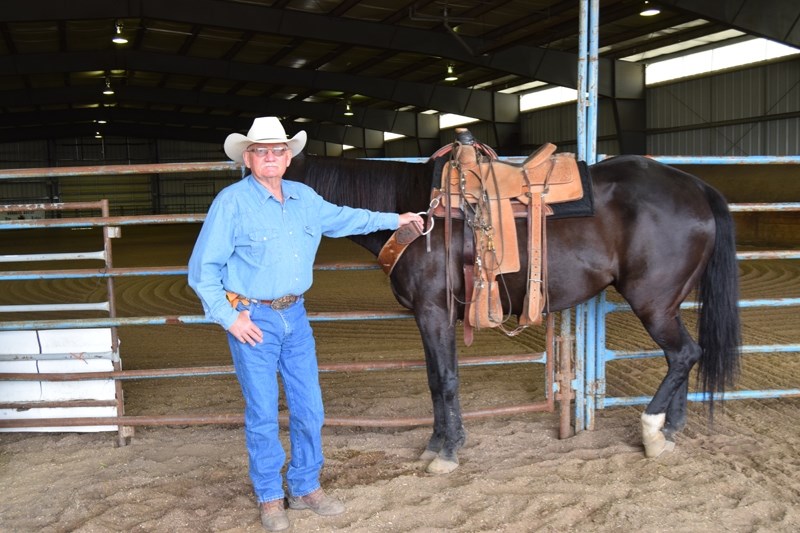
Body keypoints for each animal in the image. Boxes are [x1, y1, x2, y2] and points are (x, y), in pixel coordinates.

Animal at [284, 139, 740, 472]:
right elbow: (434, 379)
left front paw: (447, 453)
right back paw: (669, 430)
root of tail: (696, 187)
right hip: (669, 304)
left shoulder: (434, 312)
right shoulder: (430, 317)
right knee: (682, 356)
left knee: (684, 353)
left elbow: (445, 380)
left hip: (654, 303)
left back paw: (651, 431)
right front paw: (437, 444)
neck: (416, 214)